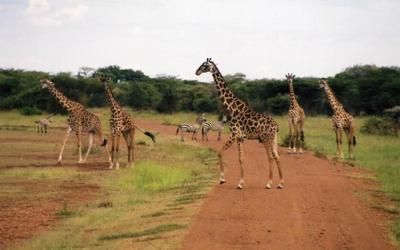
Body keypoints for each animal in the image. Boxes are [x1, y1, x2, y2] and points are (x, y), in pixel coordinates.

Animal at [195, 57, 282, 188]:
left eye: (204, 65)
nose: (197, 72)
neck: (232, 108)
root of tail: (276, 126)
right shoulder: (241, 137)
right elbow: (241, 158)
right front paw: (240, 183)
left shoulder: (234, 134)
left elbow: (220, 152)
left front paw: (222, 179)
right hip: (273, 138)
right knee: (277, 156)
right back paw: (281, 183)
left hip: (266, 138)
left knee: (270, 157)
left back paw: (269, 183)